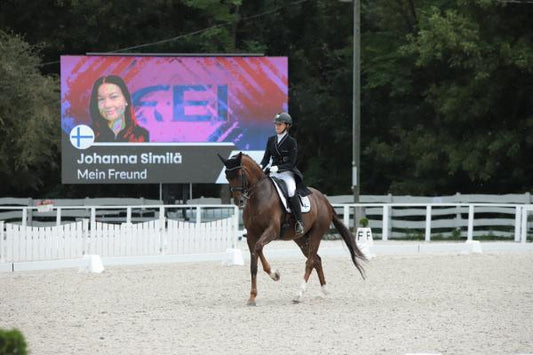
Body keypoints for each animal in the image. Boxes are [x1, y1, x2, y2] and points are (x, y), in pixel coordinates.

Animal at [217, 153, 366, 306]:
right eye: (227, 176)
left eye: (240, 174)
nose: (239, 201)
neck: (258, 198)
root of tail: (325, 200)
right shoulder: (252, 236)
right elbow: (254, 265)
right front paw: (252, 297)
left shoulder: (272, 230)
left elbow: (259, 248)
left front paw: (275, 275)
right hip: (301, 239)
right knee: (316, 260)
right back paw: (324, 290)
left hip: (316, 234)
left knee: (310, 262)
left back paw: (298, 294)